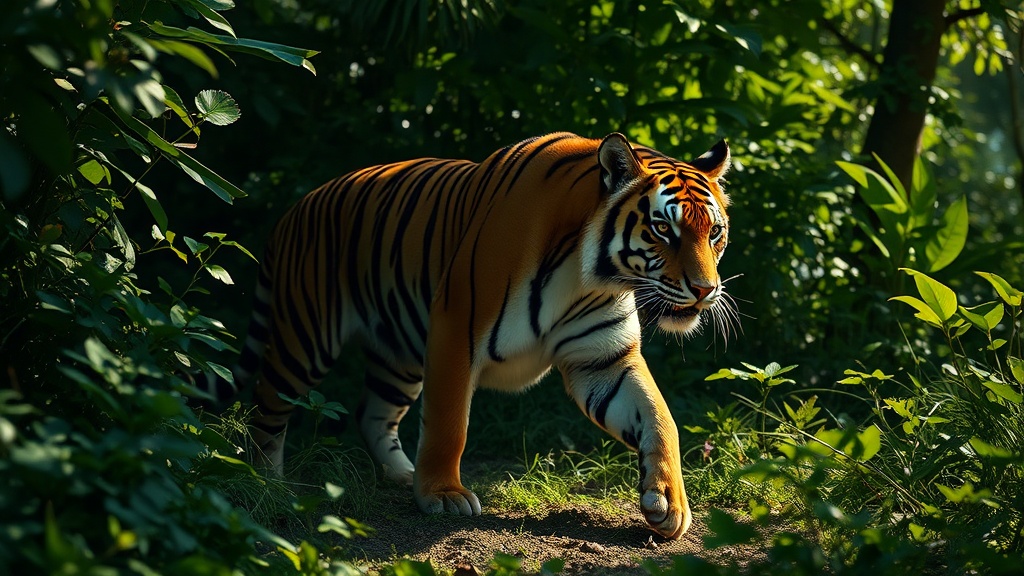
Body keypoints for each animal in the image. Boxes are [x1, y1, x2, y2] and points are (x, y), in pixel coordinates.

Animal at [221, 131, 734, 540]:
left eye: (715, 233)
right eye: (663, 229)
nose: (705, 290)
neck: (592, 275)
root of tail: (295, 209)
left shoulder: (604, 359)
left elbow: (659, 415)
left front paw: (669, 503)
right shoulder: (455, 330)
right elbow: (450, 423)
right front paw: (443, 495)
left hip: (398, 354)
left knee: (372, 413)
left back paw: (402, 475)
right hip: (305, 339)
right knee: (266, 410)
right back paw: (268, 484)